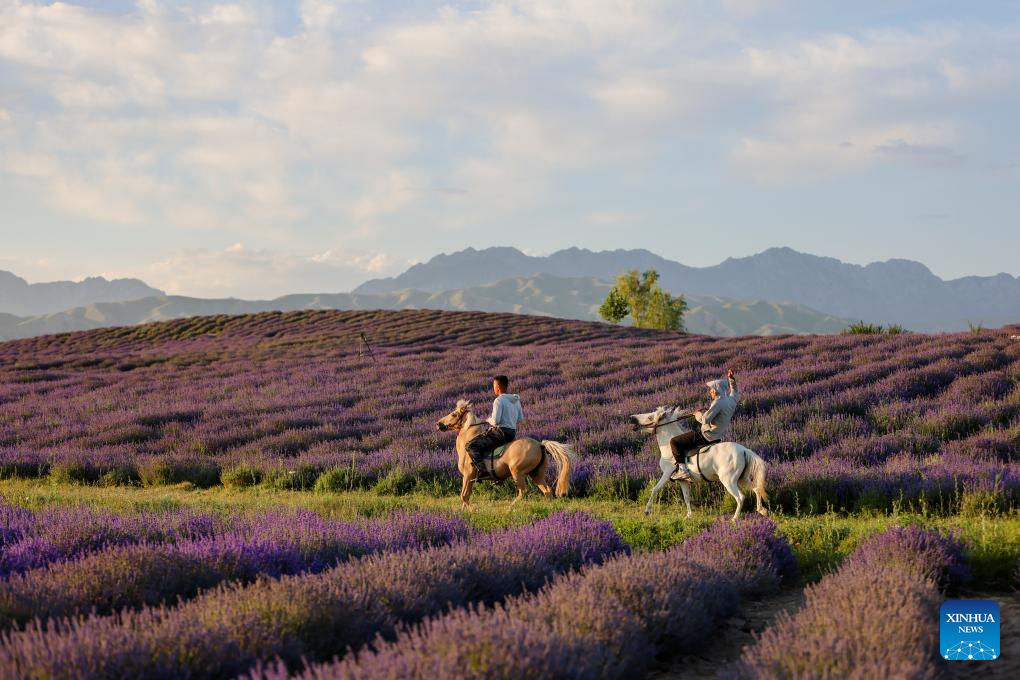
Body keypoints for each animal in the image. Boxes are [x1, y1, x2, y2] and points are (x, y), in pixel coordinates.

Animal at [434, 401, 575, 507]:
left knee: (524, 491)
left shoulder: (468, 475)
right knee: (547, 491)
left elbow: (463, 497)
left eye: (454, 414)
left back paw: (510, 507)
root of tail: (540, 445)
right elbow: (465, 497)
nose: (438, 424)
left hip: (517, 472)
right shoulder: (469, 478)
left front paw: (472, 511)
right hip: (536, 474)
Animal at [628, 407, 767, 526]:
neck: (668, 447)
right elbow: (686, 497)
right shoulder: (683, 481)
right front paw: (688, 516)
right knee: (756, 489)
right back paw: (761, 510)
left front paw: (647, 510)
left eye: (650, 417)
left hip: (729, 480)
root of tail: (744, 450)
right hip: (743, 479)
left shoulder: (667, 474)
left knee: (740, 497)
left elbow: (655, 489)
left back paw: (734, 518)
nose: (632, 418)